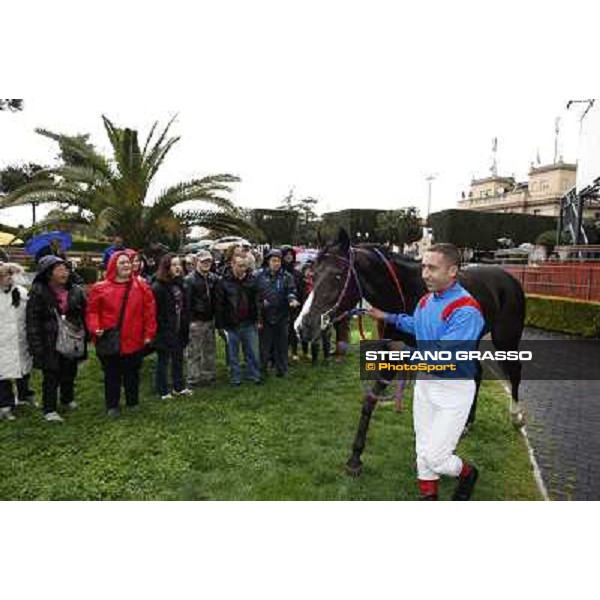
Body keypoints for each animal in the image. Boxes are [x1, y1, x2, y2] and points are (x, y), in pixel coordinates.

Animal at [296, 230, 524, 478]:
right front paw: (355, 458)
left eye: (338, 276)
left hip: (506, 338)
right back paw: (467, 423)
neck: (404, 293)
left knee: (515, 372)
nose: (303, 326)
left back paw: (516, 416)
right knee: (477, 374)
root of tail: (509, 277)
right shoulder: (391, 355)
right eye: (313, 274)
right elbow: (370, 399)